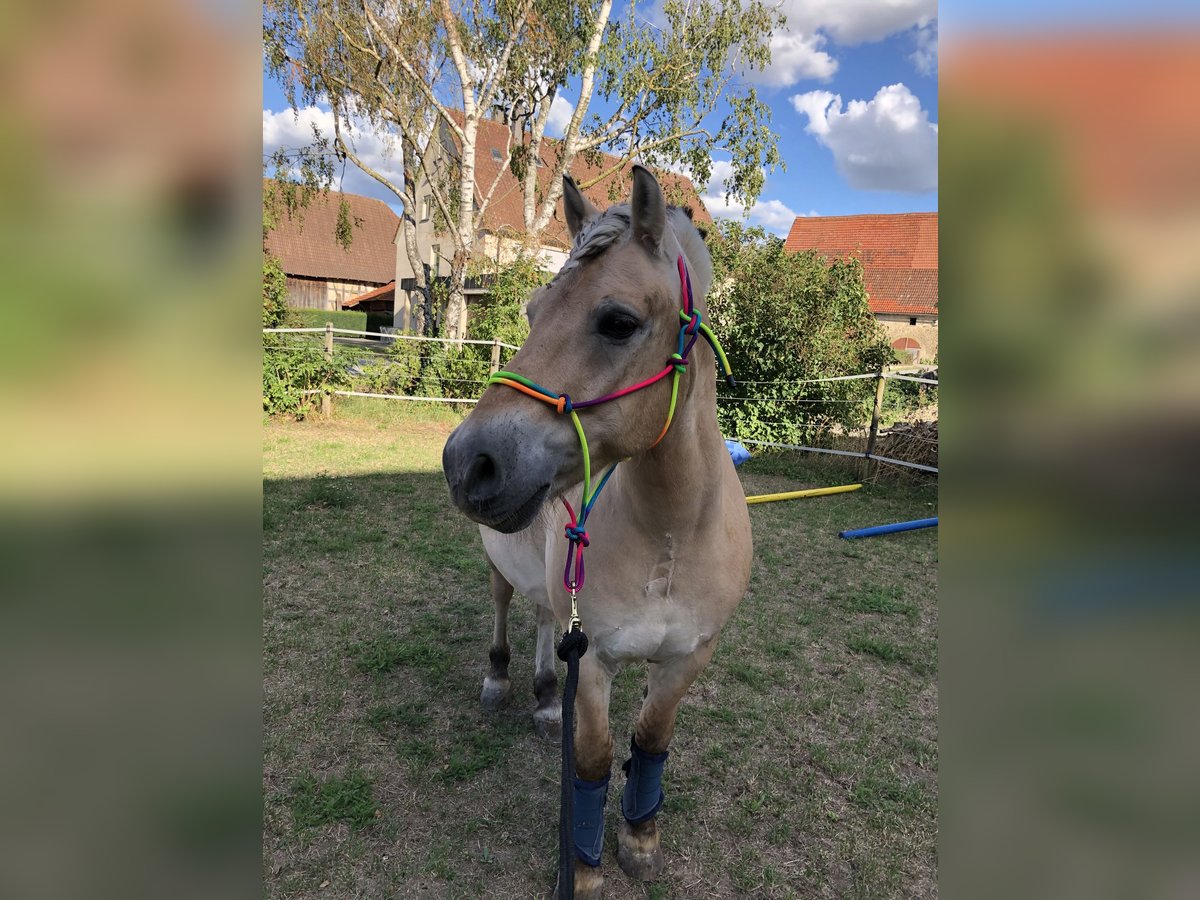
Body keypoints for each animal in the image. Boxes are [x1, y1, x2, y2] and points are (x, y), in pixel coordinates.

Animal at [446, 165, 753, 892]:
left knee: (541, 618)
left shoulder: (687, 657)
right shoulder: (595, 663)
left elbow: (649, 742)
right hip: (499, 567)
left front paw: (640, 841)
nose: (468, 462)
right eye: (532, 313)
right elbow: (591, 760)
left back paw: (543, 699)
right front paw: (583, 874)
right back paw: (502, 682)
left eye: (618, 322)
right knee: (506, 611)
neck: (669, 536)